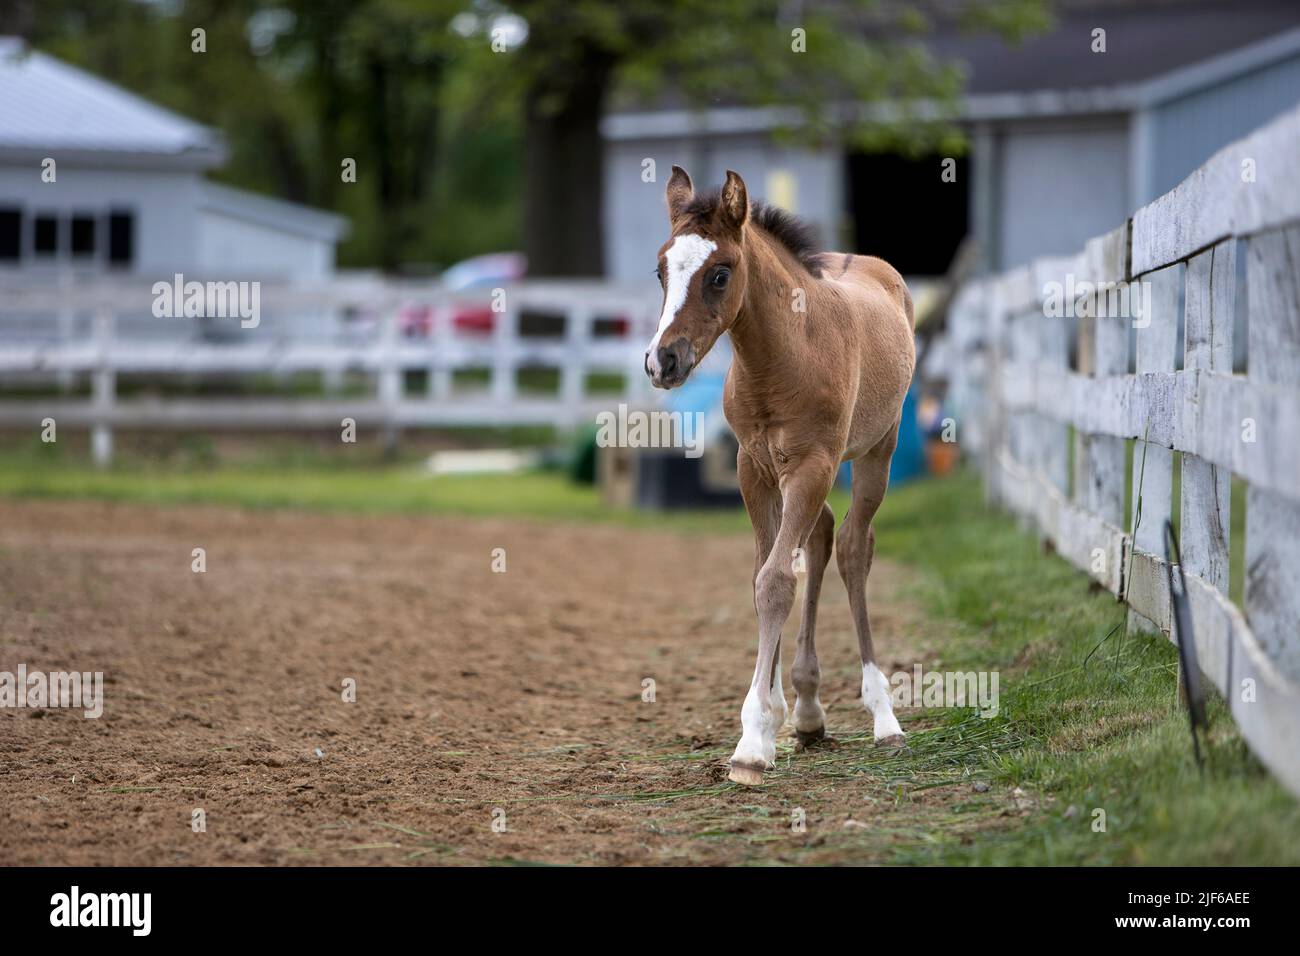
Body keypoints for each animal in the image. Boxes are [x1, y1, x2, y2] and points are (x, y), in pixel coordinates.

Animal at [642, 167, 915, 790]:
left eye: (721, 273)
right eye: (662, 270)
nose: (662, 361)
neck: (783, 359)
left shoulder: (813, 464)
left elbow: (775, 582)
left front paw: (751, 743)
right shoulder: (755, 469)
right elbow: (765, 573)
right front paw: (771, 721)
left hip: (875, 451)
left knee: (852, 547)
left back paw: (883, 715)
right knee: (820, 539)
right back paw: (809, 711)